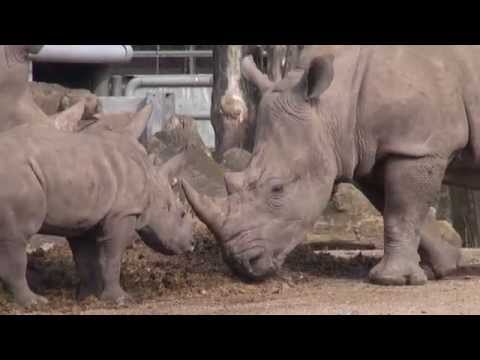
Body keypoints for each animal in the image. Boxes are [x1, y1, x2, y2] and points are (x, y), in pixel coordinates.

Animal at [0, 104, 197, 306]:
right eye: (182, 214)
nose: (192, 244)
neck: (152, 185)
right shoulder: (123, 212)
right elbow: (112, 257)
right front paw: (120, 299)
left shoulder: (82, 220)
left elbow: (86, 259)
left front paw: (88, 297)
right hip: (17, 177)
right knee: (16, 239)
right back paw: (35, 302)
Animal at [183, 45, 476, 286]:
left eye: (277, 189)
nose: (240, 263)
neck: (334, 102)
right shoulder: (369, 152)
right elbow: (392, 206)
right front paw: (441, 265)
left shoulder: (417, 146)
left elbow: (401, 212)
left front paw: (392, 280)